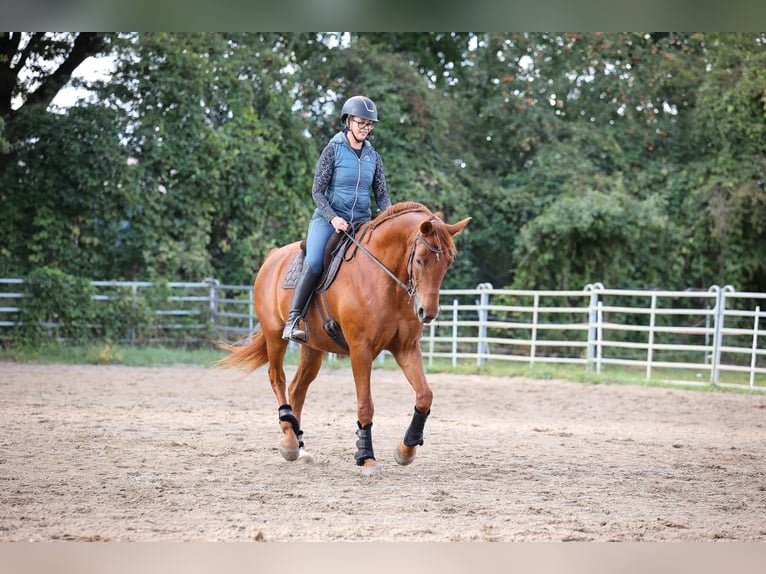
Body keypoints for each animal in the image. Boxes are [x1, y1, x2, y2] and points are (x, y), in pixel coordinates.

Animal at [215, 202, 471, 475]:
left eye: (448, 262)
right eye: (421, 260)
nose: (427, 312)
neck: (383, 277)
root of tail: (273, 258)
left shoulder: (406, 349)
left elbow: (424, 396)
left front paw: (406, 449)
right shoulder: (361, 349)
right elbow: (365, 404)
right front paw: (366, 457)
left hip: (313, 348)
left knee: (297, 389)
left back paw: (300, 446)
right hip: (275, 337)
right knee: (278, 379)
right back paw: (289, 442)